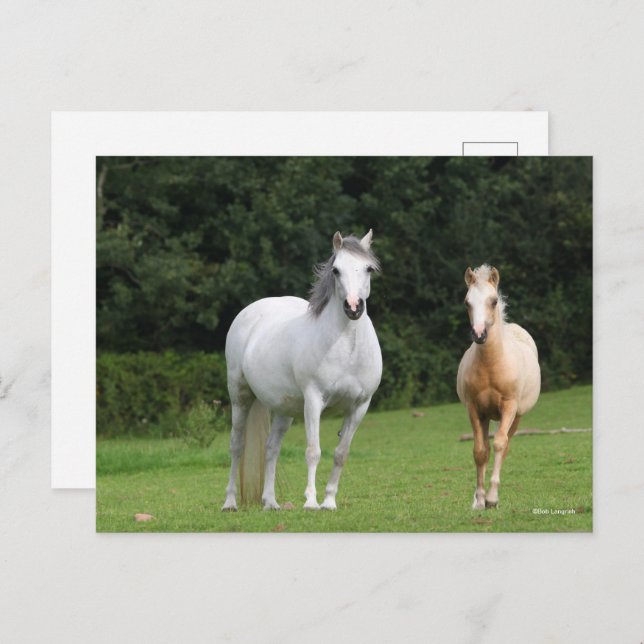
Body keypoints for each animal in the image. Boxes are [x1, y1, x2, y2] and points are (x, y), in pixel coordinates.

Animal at [222, 230, 382, 511]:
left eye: (368, 269)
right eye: (336, 270)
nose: (353, 308)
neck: (347, 346)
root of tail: (249, 312)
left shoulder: (360, 406)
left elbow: (340, 454)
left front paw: (329, 501)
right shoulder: (314, 400)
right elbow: (313, 451)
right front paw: (310, 501)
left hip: (284, 409)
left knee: (271, 448)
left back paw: (270, 502)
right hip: (240, 397)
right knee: (236, 445)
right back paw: (230, 502)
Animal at [456, 265, 540, 509]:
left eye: (493, 301)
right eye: (467, 302)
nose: (479, 334)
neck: (491, 366)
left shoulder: (509, 407)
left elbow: (500, 445)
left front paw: (492, 498)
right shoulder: (474, 409)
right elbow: (479, 451)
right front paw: (479, 499)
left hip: (517, 416)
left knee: (505, 444)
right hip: (486, 416)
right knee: (484, 447)